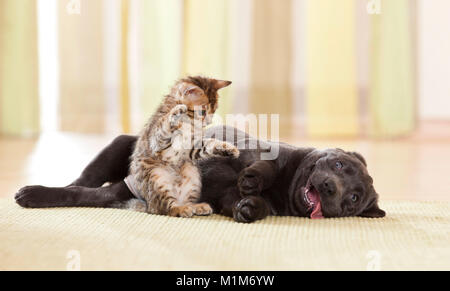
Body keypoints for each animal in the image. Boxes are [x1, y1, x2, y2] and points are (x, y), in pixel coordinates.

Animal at [15, 126, 384, 224]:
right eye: (339, 165)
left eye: (353, 198)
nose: (329, 187)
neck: (285, 188)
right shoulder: (250, 148)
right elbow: (263, 165)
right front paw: (254, 178)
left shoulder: (225, 199)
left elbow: (245, 202)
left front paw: (251, 207)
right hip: (118, 145)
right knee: (79, 185)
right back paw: (35, 192)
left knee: (89, 194)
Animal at [121, 76, 237, 218]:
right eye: (203, 111)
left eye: (213, 111)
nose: (208, 122)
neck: (188, 123)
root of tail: (148, 205)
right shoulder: (157, 141)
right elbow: (163, 126)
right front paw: (175, 112)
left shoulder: (191, 148)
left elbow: (209, 144)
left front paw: (228, 148)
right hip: (157, 177)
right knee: (165, 209)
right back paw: (180, 209)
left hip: (192, 173)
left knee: (185, 202)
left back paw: (196, 207)